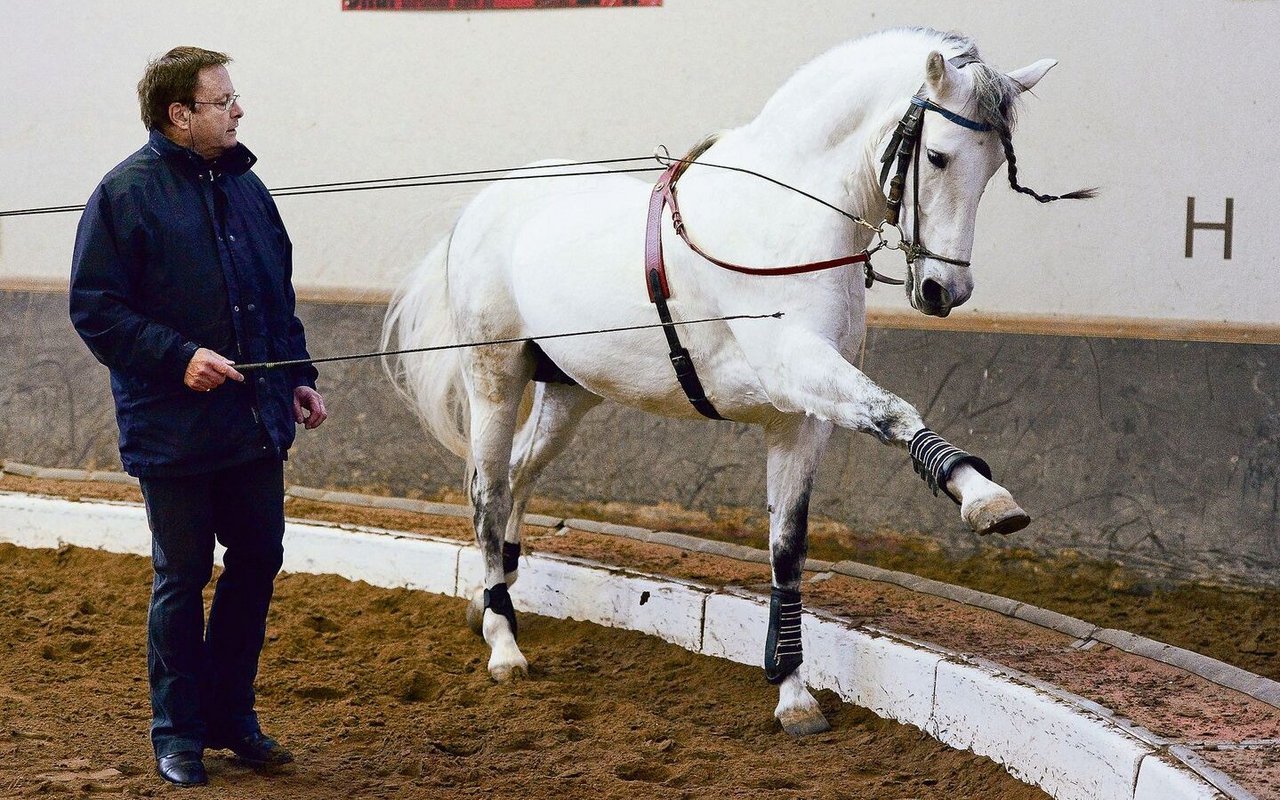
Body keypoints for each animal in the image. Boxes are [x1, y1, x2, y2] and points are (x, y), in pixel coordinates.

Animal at [381, 26, 1090, 737]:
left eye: (993, 169)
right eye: (938, 157)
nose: (946, 291)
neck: (787, 217)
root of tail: (483, 205)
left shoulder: (800, 418)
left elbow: (787, 548)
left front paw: (794, 695)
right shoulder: (796, 370)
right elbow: (895, 413)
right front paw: (989, 502)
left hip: (569, 391)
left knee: (520, 476)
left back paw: (487, 600)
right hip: (495, 378)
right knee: (488, 491)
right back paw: (503, 644)